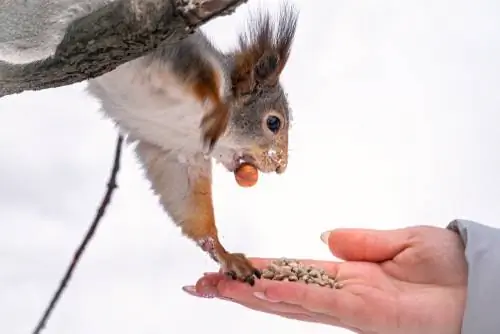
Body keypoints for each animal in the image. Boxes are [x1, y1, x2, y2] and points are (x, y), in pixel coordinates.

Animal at [84, 1, 298, 284]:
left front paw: (226, 256)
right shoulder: (175, 55)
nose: (280, 166)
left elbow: (191, 208)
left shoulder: (178, 155)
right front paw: (219, 116)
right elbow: (206, 80)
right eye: (273, 123)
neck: (189, 128)